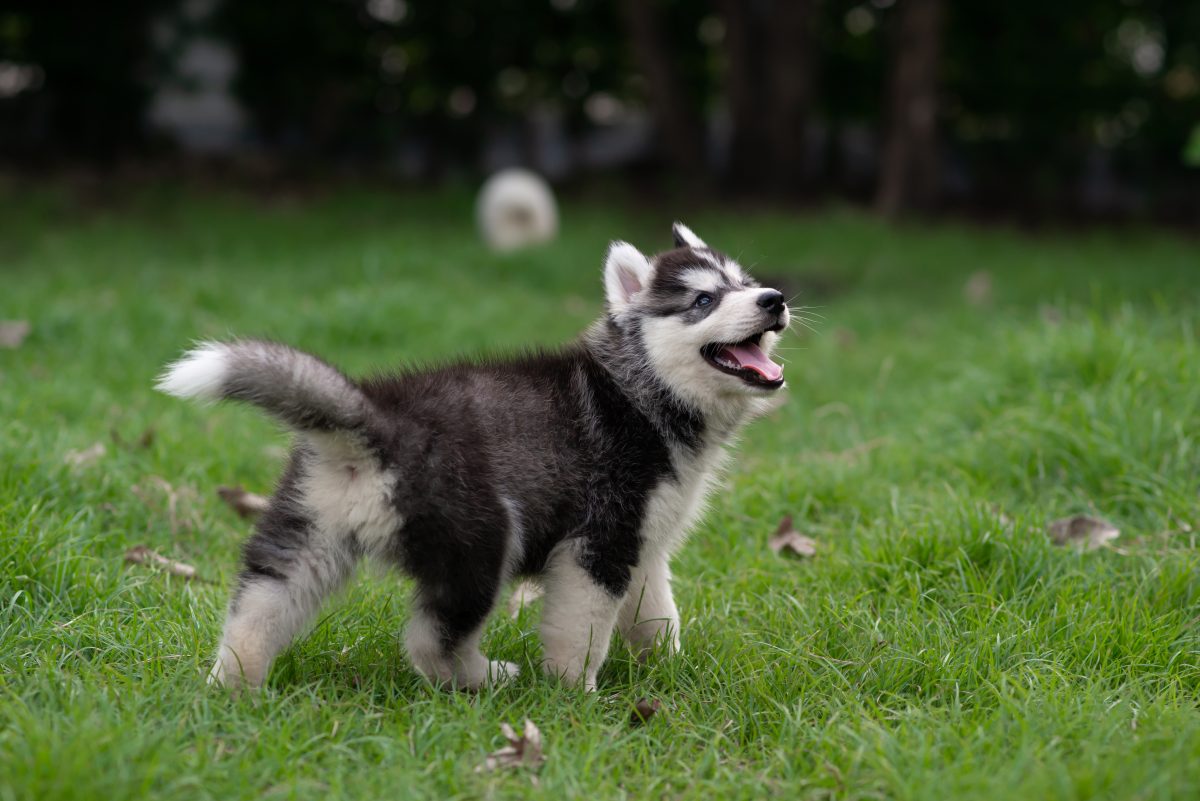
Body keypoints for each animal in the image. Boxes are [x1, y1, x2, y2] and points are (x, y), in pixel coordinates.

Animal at [157, 221, 787, 690]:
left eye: (745, 283)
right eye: (704, 300)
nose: (774, 299)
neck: (641, 388)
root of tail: (375, 419)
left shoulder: (640, 543)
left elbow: (655, 613)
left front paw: (671, 667)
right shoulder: (596, 542)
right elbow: (580, 632)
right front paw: (577, 696)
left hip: (306, 536)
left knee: (256, 610)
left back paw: (232, 690)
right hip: (481, 540)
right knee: (430, 641)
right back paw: (489, 677)